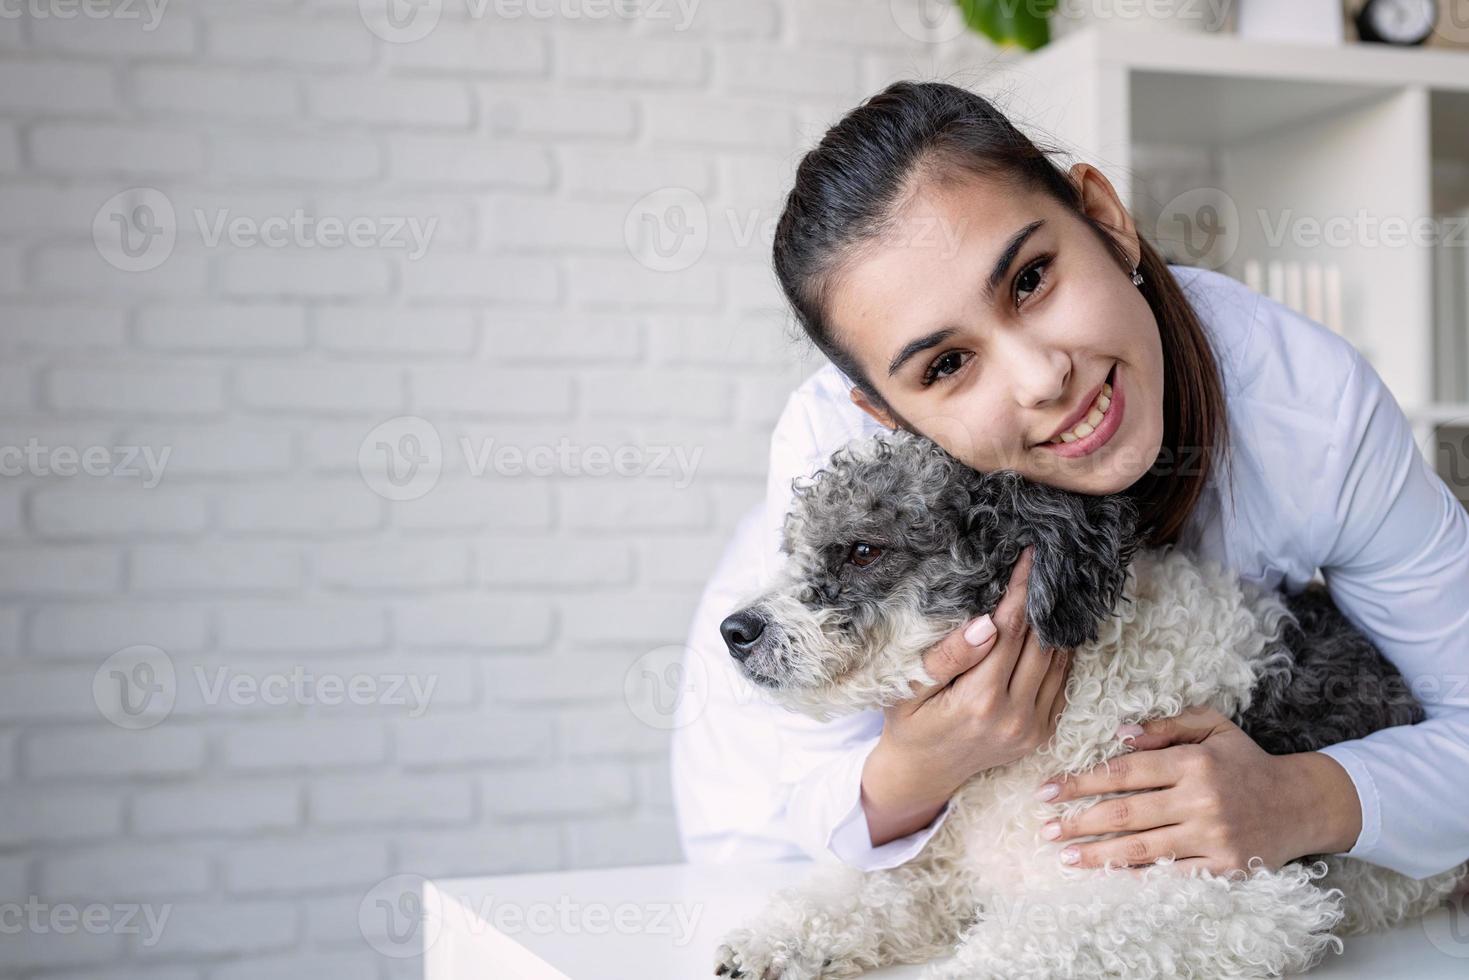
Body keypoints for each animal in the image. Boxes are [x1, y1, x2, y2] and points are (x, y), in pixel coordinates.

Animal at [713, 431, 1469, 980]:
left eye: (864, 551)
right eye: (794, 547)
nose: (734, 630)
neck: (1084, 691)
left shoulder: (1233, 892)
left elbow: (1040, 941)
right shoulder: (947, 861)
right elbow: (864, 890)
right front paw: (771, 941)